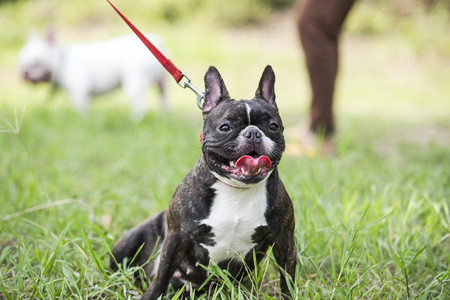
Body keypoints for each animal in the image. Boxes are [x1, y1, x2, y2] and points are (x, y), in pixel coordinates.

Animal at [17, 31, 169, 119]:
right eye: (21, 62)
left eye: (35, 62)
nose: (23, 72)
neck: (62, 61)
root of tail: (157, 41)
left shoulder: (79, 92)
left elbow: (81, 110)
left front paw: (83, 121)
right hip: (162, 84)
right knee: (163, 99)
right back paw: (164, 116)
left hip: (134, 82)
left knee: (141, 106)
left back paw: (135, 120)